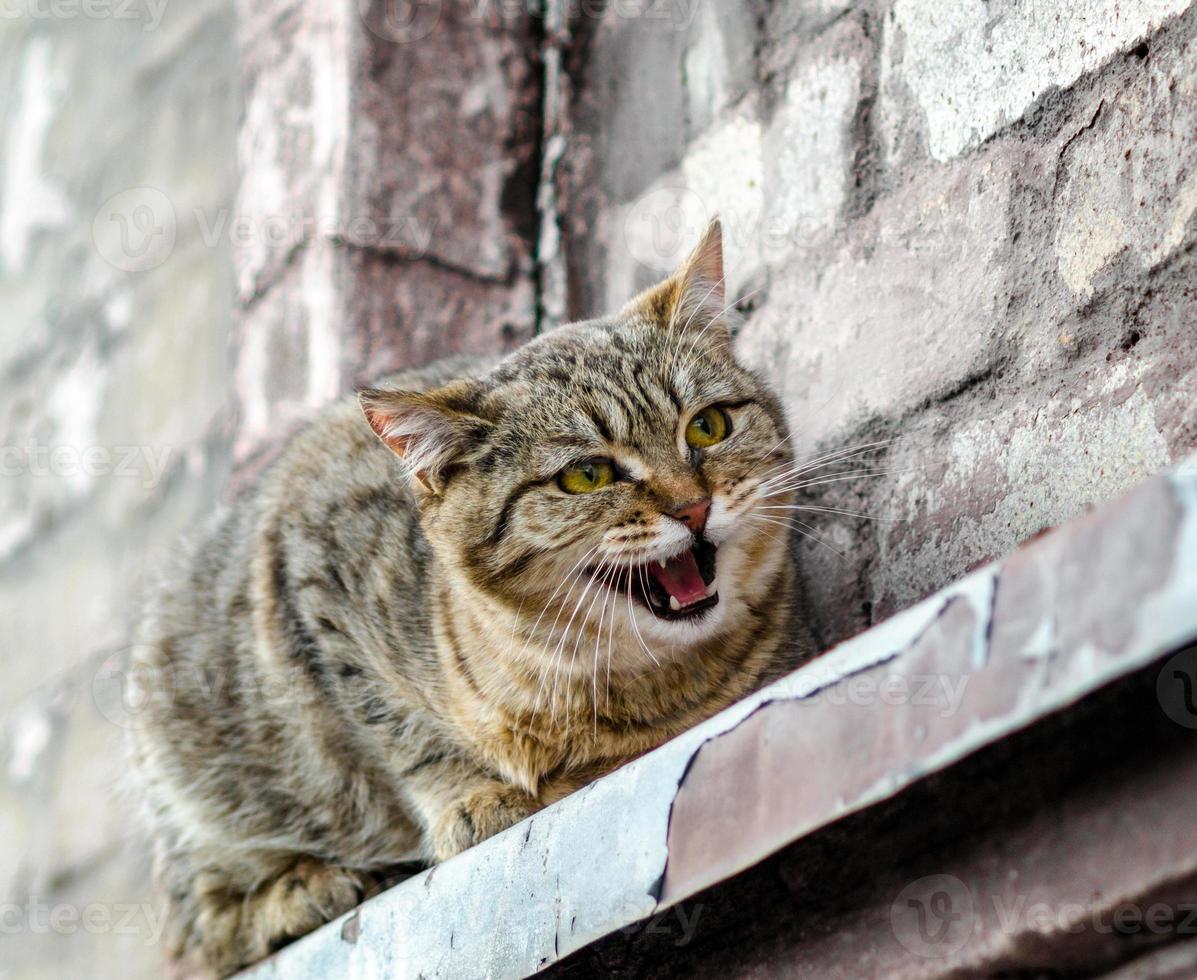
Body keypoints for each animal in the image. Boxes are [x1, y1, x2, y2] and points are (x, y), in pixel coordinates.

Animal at [128, 218, 813, 976]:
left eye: (707, 427)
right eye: (587, 475)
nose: (693, 507)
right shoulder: (308, 560)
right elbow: (399, 729)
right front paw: (470, 793)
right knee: (201, 928)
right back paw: (298, 888)